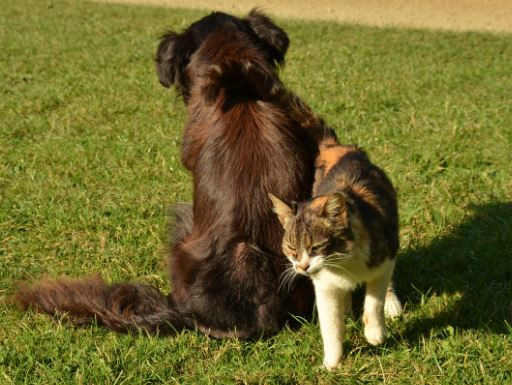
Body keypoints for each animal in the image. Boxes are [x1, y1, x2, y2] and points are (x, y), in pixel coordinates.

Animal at [270, 141, 402, 368]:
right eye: (292, 249)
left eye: (316, 247)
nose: (302, 267)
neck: (343, 262)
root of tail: (342, 148)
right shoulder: (324, 286)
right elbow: (330, 325)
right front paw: (331, 363)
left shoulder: (384, 260)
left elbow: (374, 300)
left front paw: (375, 333)